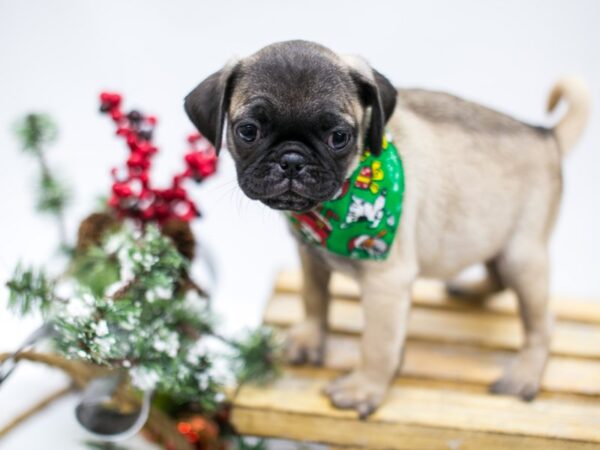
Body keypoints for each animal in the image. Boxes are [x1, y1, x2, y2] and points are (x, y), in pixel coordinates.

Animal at [184, 40, 592, 416]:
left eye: (338, 137)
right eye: (248, 131)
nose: (292, 160)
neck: (333, 211)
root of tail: (547, 136)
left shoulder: (386, 285)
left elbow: (377, 345)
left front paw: (364, 389)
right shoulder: (309, 256)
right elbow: (314, 299)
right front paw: (311, 339)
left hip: (522, 255)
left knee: (542, 323)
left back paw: (523, 375)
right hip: (495, 239)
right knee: (496, 276)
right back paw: (468, 290)